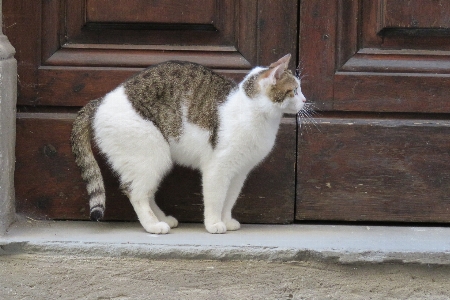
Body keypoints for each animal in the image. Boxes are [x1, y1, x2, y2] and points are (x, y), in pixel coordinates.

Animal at [71, 54, 306, 234]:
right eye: (295, 91)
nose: (305, 100)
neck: (253, 111)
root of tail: (100, 101)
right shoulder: (217, 168)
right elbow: (216, 198)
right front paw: (214, 224)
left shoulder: (239, 172)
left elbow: (229, 199)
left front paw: (226, 220)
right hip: (151, 155)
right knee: (135, 193)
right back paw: (153, 226)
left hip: (152, 162)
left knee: (146, 192)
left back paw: (162, 218)